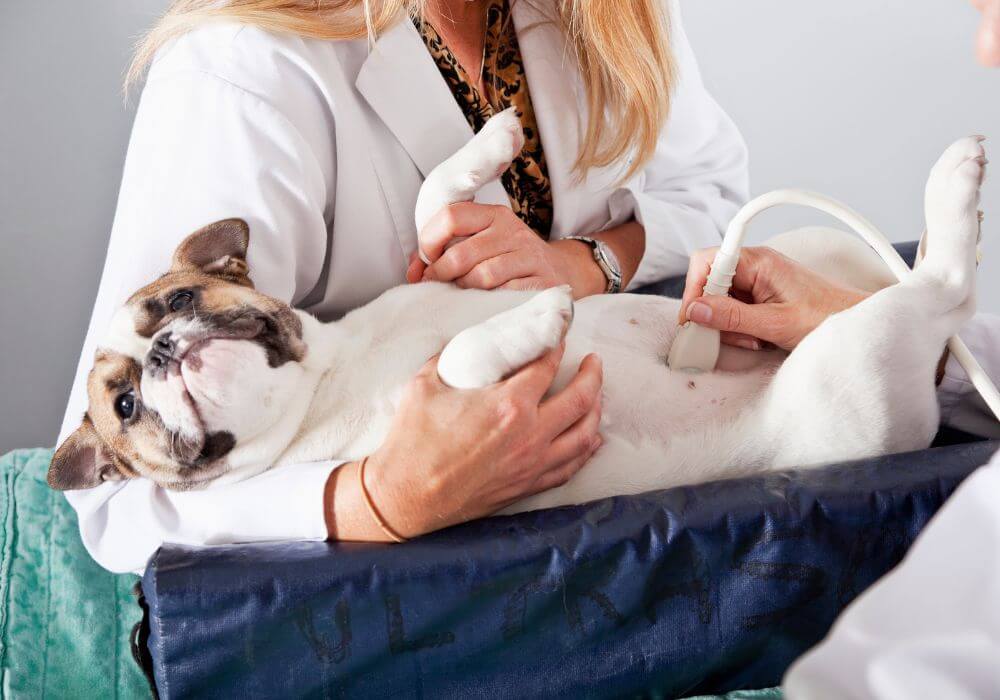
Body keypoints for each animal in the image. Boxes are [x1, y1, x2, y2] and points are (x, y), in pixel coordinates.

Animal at [47, 112, 984, 512]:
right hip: (850, 370)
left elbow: (433, 201)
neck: (325, 380)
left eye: (177, 299)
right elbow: (465, 359)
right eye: (124, 406)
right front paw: (541, 324)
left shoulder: (459, 269)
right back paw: (957, 193)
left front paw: (490, 145)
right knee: (938, 286)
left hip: (812, 260)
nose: (166, 349)